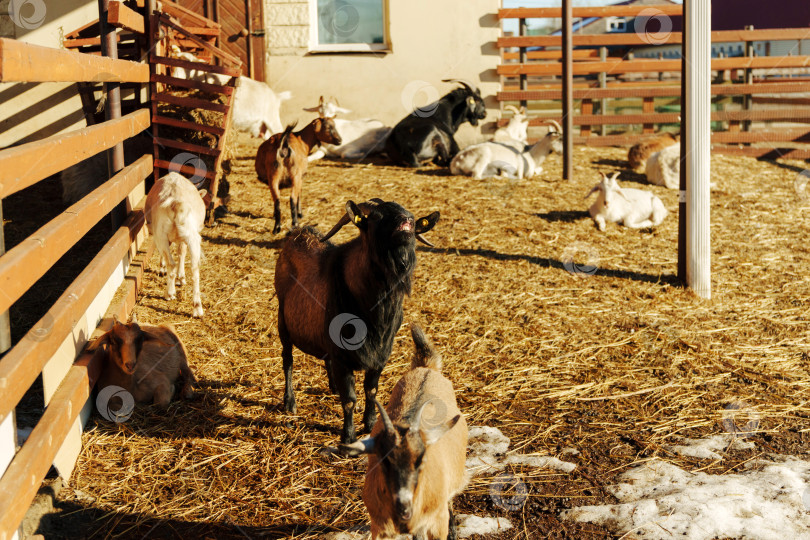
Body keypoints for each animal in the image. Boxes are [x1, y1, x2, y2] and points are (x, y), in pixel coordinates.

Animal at [145, 172, 206, 317]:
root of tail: (175, 203)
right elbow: (181, 252)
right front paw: (181, 277)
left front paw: (162, 269)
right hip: (192, 236)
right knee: (195, 269)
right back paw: (197, 307)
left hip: (161, 233)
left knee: (171, 263)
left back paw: (169, 293)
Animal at [274, 199, 440, 443]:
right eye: (375, 217)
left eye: (410, 215)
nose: (407, 220)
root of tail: (298, 233)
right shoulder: (342, 358)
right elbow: (350, 399)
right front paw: (348, 436)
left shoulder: (380, 355)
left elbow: (371, 391)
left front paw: (370, 423)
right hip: (283, 321)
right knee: (288, 359)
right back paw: (290, 402)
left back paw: (333, 387)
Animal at [340, 324, 468, 540]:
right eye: (384, 462)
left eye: (421, 460)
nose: (404, 507)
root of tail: (426, 368)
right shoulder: (379, 528)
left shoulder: (436, 524)